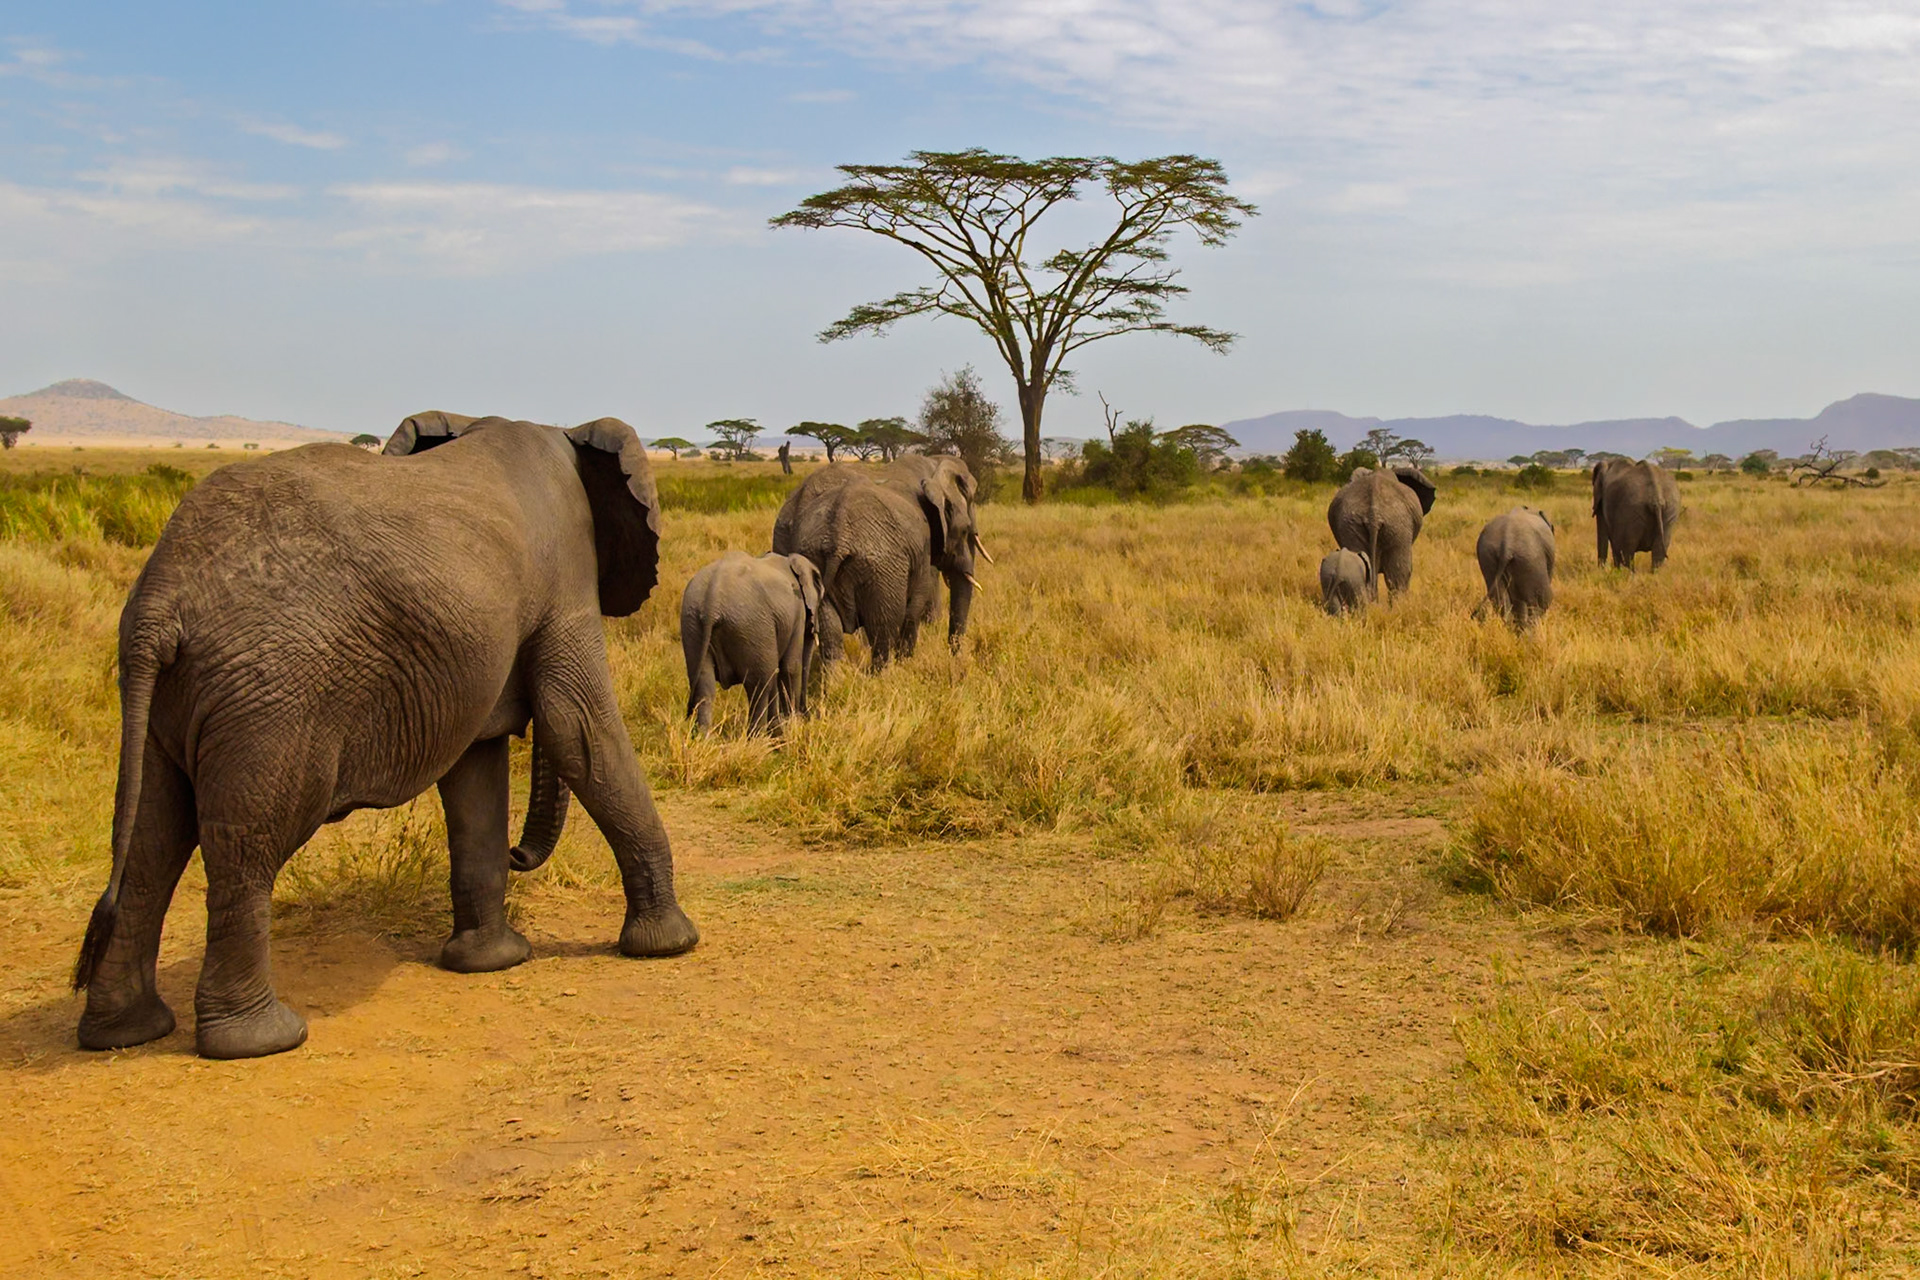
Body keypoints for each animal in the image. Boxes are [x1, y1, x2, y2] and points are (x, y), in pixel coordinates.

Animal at [72, 412, 699, 1060]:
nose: (520, 855)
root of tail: (159, 599)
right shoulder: (565, 575)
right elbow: (576, 725)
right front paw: (669, 946)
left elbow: (476, 770)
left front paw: (490, 963)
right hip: (269, 699)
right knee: (246, 845)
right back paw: (263, 1040)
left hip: (171, 700)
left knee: (151, 843)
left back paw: (123, 1034)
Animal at [681, 551, 822, 735]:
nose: (808, 715)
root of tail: (712, 600)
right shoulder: (797, 612)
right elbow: (790, 667)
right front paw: (790, 727)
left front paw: (781, 729)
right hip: (751, 626)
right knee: (760, 685)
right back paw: (757, 737)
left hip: (692, 625)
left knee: (704, 687)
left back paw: (702, 738)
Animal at [771, 455, 986, 669]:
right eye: (965, 531)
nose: (955, 658)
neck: (936, 466)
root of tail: (837, 535)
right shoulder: (925, 545)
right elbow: (916, 604)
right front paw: (906, 664)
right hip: (882, 569)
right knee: (883, 630)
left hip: (808, 554)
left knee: (831, 634)